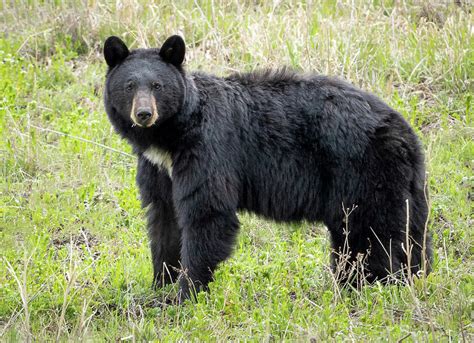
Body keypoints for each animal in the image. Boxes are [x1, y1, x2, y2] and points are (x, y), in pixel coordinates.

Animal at [102, 35, 432, 302]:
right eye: (129, 86)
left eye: (157, 86)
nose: (144, 114)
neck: (171, 137)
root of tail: (406, 132)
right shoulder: (158, 168)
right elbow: (163, 218)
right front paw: (160, 285)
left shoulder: (208, 150)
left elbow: (207, 212)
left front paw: (186, 293)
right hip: (393, 185)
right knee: (393, 232)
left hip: (366, 175)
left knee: (379, 233)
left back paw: (381, 283)